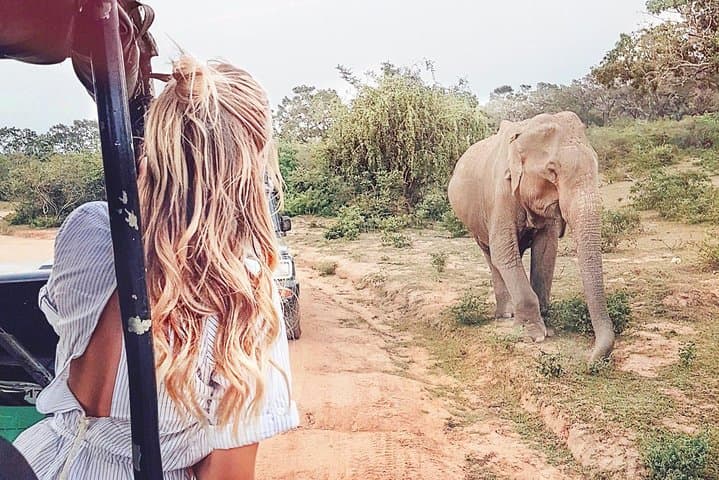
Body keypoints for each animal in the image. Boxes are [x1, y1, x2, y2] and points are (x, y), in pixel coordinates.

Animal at [447, 111, 614, 362]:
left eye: (596, 164)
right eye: (552, 171)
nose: (590, 358)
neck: (524, 132)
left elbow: (546, 251)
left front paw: (549, 327)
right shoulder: (500, 195)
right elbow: (504, 251)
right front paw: (534, 336)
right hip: (474, 222)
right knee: (491, 256)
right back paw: (505, 315)